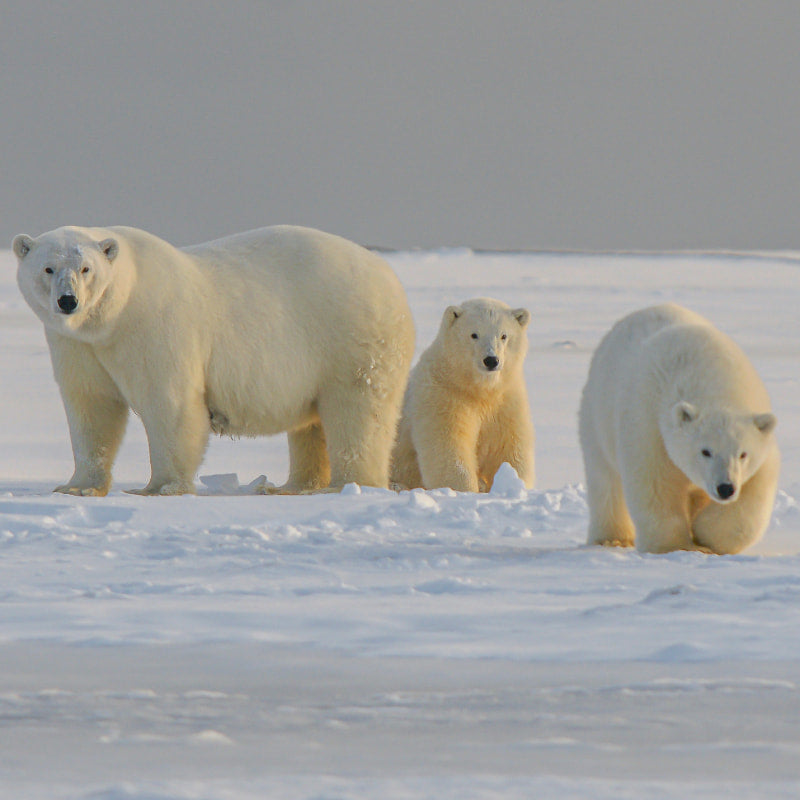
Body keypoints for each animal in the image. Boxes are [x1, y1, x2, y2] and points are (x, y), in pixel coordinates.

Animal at [12, 223, 416, 494]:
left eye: (86, 269)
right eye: (48, 268)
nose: (68, 301)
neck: (114, 315)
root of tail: (389, 277)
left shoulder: (155, 326)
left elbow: (169, 404)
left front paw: (160, 487)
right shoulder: (77, 345)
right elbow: (91, 407)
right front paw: (77, 486)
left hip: (351, 337)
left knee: (357, 412)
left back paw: (349, 484)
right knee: (311, 424)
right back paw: (292, 485)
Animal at [390, 296, 536, 490]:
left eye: (504, 335)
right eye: (474, 334)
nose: (491, 360)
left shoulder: (506, 400)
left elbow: (507, 448)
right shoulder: (443, 395)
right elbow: (449, 447)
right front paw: (465, 489)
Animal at [580, 304, 780, 552]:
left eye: (743, 454)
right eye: (705, 451)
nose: (725, 488)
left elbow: (755, 491)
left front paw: (705, 535)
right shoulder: (649, 424)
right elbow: (655, 483)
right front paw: (674, 546)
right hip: (596, 415)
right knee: (605, 480)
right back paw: (611, 538)